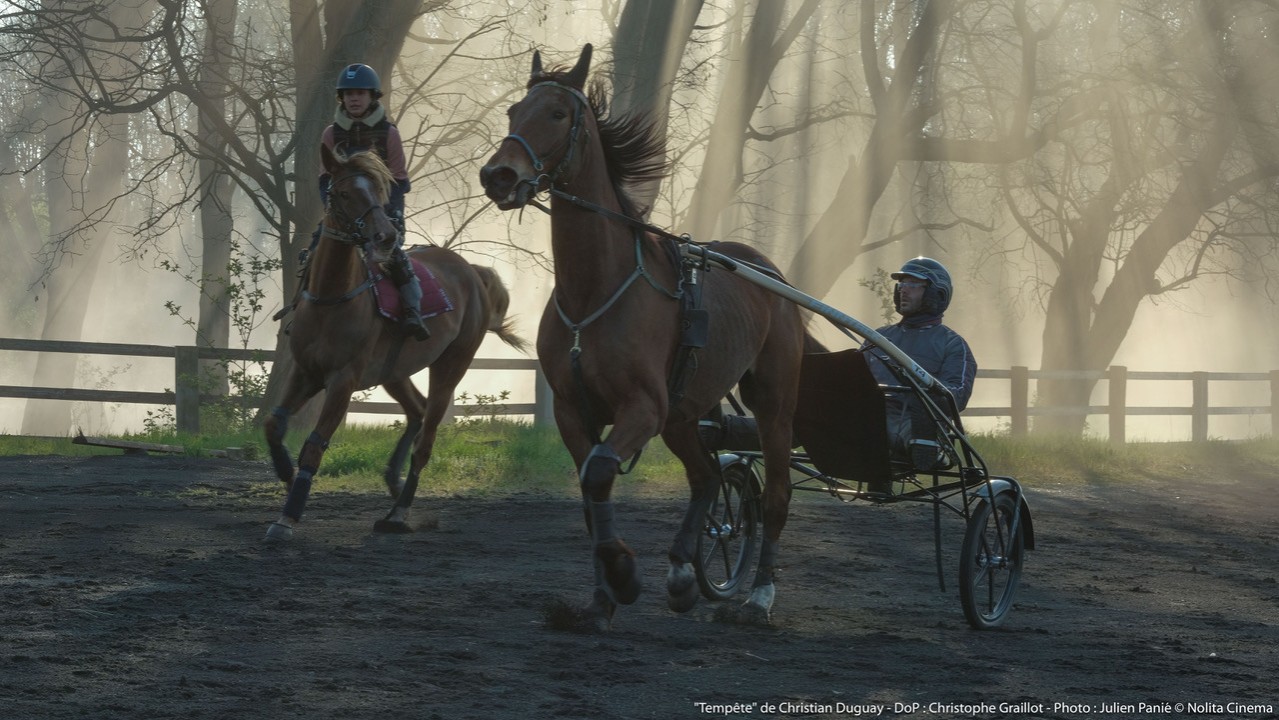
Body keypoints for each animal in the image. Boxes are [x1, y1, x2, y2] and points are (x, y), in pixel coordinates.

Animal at [264, 144, 528, 541]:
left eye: (379, 190)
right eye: (344, 193)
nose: (385, 236)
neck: (332, 297)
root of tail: (473, 273)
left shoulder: (343, 381)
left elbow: (314, 444)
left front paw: (287, 516)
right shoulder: (305, 371)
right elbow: (273, 423)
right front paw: (285, 471)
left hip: (452, 364)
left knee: (426, 438)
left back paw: (398, 512)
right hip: (394, 372)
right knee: (416, 410)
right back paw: (393, 480)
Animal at [479, 44, 813, 629]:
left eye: (558, 114)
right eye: (513, 111)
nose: (498, 175)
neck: (595, 291)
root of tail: (769, 273)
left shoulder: (643, 406)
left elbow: (599, 474)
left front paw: (624, 575)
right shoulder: (574, 409)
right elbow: (591, 490)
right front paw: (600, 599)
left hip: (771, 401)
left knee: (775, 492)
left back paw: (759, 597)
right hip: (683, 412)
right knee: (705, 477)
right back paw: (683, 573)